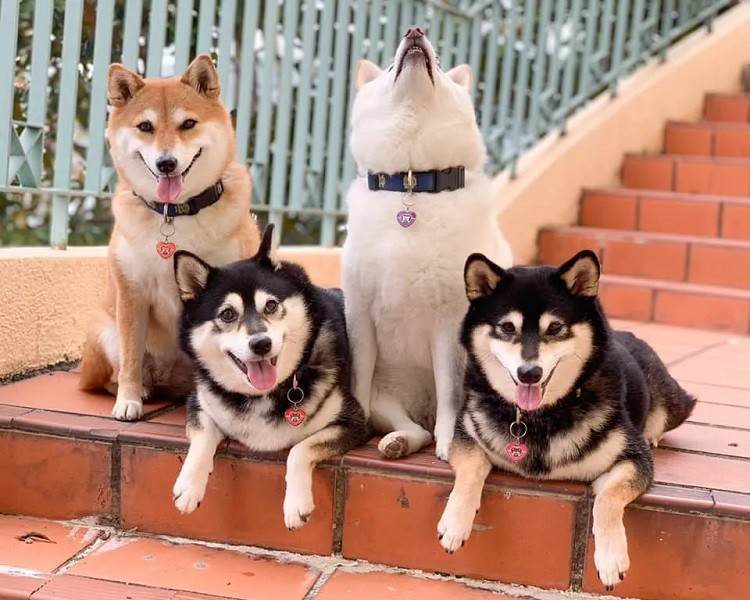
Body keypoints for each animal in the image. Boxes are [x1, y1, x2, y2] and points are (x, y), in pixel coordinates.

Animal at [80, 56, 260, 422]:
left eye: (188, 124)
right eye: (145, 127)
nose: (166, 163)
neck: (176, 213)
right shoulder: (131, 294)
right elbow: (131, 358)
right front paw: (128, 400)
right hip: (105, 333)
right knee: (110, 377)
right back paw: (140, 390)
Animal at [171, 226, 370, 528]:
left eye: (272, 305)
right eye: (227, 314)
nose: (261, 344)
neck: (265, 393)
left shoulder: (355, 421)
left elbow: (299, 448)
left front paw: (296, 503)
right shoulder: (199, 401)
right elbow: (202, 436)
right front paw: (189, 486)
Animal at [344, 28, 516, 460]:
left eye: (438, 66)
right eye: (391, 65)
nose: (414, 31)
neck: (412, 183)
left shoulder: (448, 322)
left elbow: (450, 394)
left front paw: (449, 441)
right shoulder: (360, 313)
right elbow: (357, 378)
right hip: (387, 397)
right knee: (408, 426)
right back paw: (398, 440)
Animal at [440, 248, 700, 592]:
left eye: (554, 328)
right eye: (507, 327)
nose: (529, 373)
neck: (539, 418)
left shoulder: (633, 459)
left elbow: (607, 498)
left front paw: (611, 557)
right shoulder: (466, 436)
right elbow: (471, 469)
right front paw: (455, 523)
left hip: (672, 401)